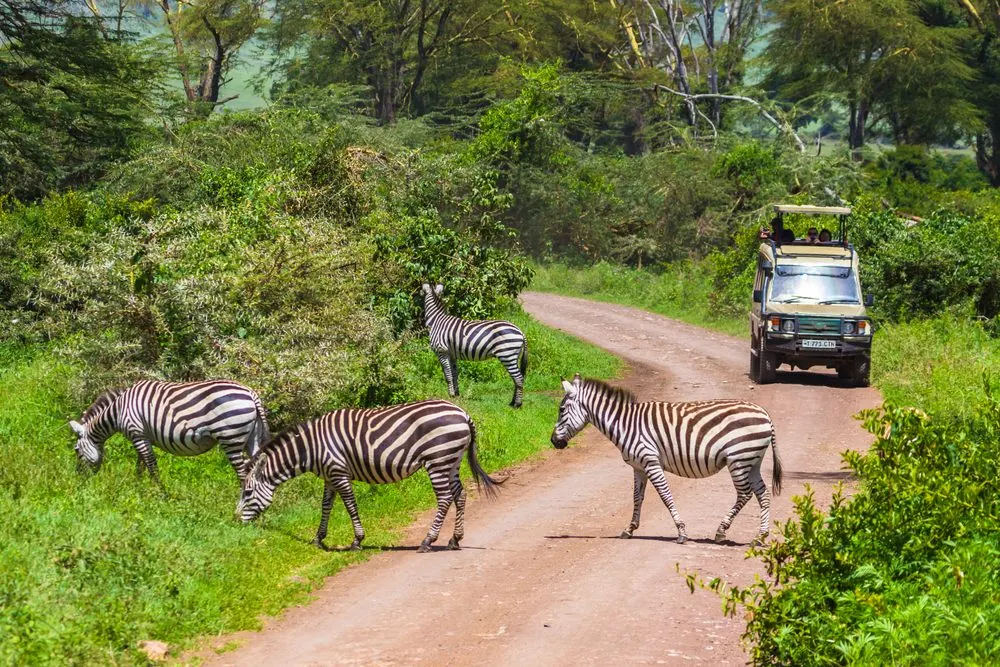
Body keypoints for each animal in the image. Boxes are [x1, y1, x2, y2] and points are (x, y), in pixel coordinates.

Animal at [69, 380, 270, 488]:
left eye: (76, 451)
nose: (78, 479)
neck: (119, 410)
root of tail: (251, 393)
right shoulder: (141, 435)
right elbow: (141, 464)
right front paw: (138, 488)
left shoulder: (137, 433)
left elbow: (151, 465)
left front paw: (160, 494)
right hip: (252, 437)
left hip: (231, 438)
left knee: (244, 472)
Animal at [238, 399, 500, 552]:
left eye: (247, 492)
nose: (237, 521)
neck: (312, 448)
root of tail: (463, 414)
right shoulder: (329, 477)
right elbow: (326, 506)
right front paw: (318, 538)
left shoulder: (339, 472)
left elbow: (350, 505)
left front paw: (357, 541)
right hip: (451, 461)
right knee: (460, 495)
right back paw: (455, 539)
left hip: (438, 459)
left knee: (445, 499)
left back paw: (428, 541)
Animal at [549, 375, 782, 545]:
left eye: (561, 410)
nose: (553, 442)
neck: (624, 424)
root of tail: (765, 415)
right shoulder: (638, 467)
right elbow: (637, 497)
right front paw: (629, 529)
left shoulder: (651, 462)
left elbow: (665, 496)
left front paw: (681, 532)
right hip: (752, 461)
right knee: (762, 493)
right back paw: (760, 536)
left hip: (739, 459)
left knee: (745, 494)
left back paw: (721, 531)